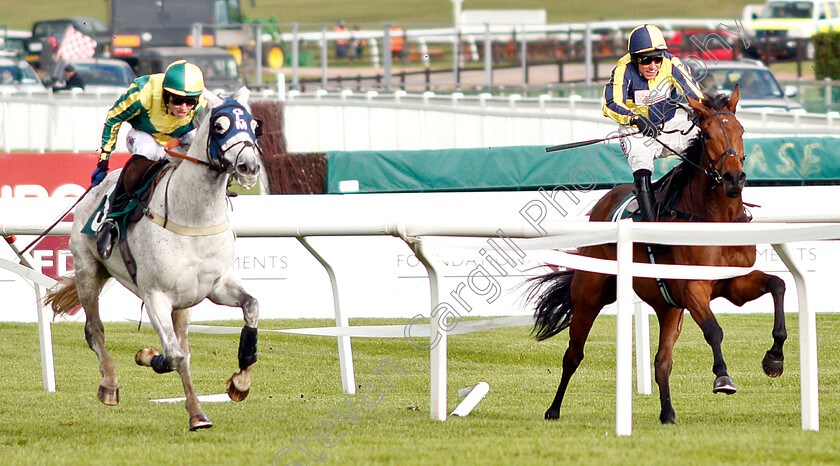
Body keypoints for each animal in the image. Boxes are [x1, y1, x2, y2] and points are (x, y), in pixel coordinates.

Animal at [46, 86, 262, 430]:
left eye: (255, 126)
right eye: (219, 126)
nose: (249, 167)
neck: (194, 219)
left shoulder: (216, 286)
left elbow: (250, 307)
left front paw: (240, 382)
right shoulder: (155, 294)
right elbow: (172, 355)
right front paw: (146, 355)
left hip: (184, 304)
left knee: (184, 346)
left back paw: (197, 411)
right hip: (87, 271)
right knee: (95, 330)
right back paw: (109, 384)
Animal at [524, 83, 788, 422]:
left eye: (741, 130)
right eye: (706, 135)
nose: (733, 178)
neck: (714, 217)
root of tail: (604, 201)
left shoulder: (733, 283)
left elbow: (777, 285)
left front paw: (774, 358)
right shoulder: (693, 288)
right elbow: (714, 330)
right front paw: (723, 377)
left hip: (668, 307)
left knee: (662, 362)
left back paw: (668, 413)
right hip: (589, 295)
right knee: (573, 354)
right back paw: (554, 409)